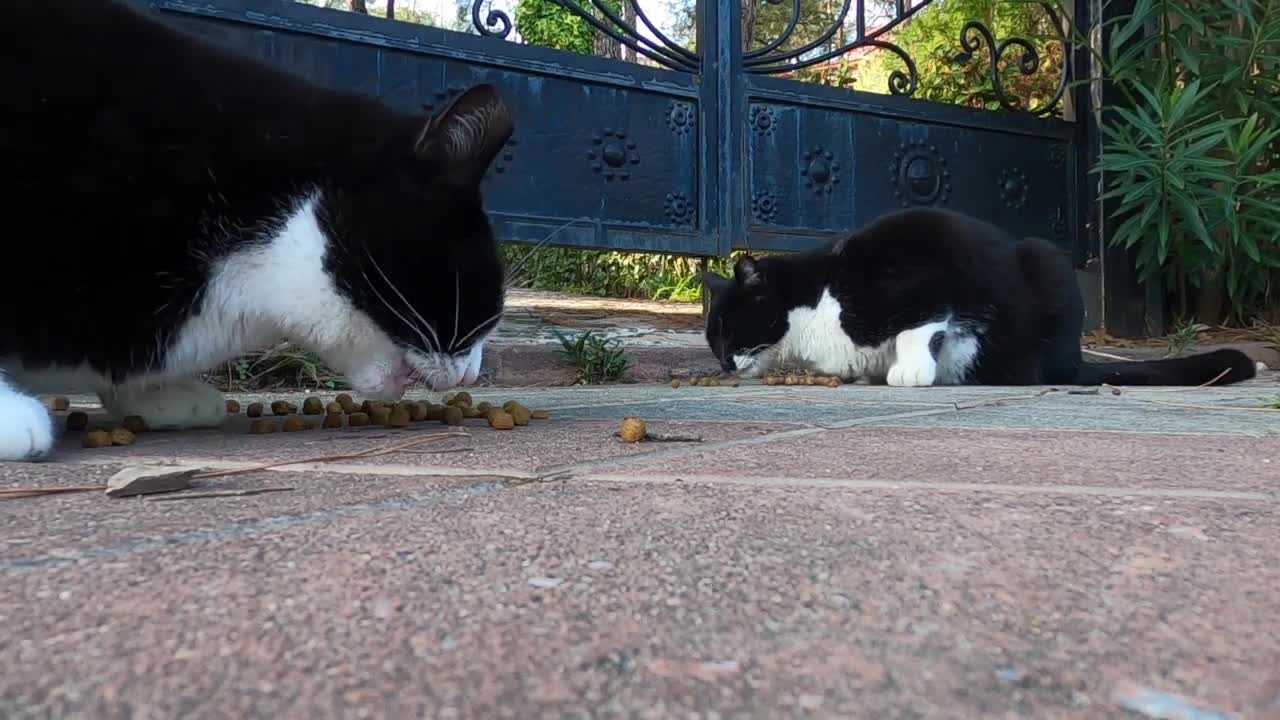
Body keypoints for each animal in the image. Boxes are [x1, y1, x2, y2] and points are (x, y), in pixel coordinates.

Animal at [711, 204, 1259, 389]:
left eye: (728, 330)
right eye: (714, 342)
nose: (722, 364)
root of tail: (1075, 363)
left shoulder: (921, 278)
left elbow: (920, 324)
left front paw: (909, 372)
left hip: (1046, 257)